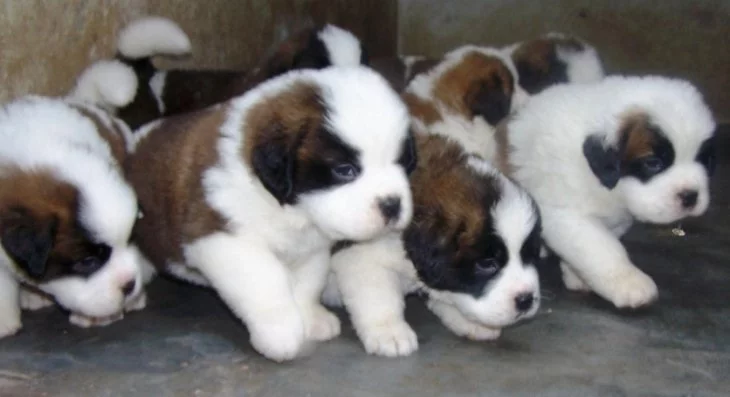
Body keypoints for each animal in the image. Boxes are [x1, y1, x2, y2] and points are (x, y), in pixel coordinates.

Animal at [125, 66, 416, 360]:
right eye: (345, 170)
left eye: (402, 164)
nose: (392, 204)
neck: (288, 208)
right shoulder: (225, 240)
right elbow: (266, 283)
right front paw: (281, 332)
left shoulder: (310, 249)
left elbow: (306, 284)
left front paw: (310, 318)